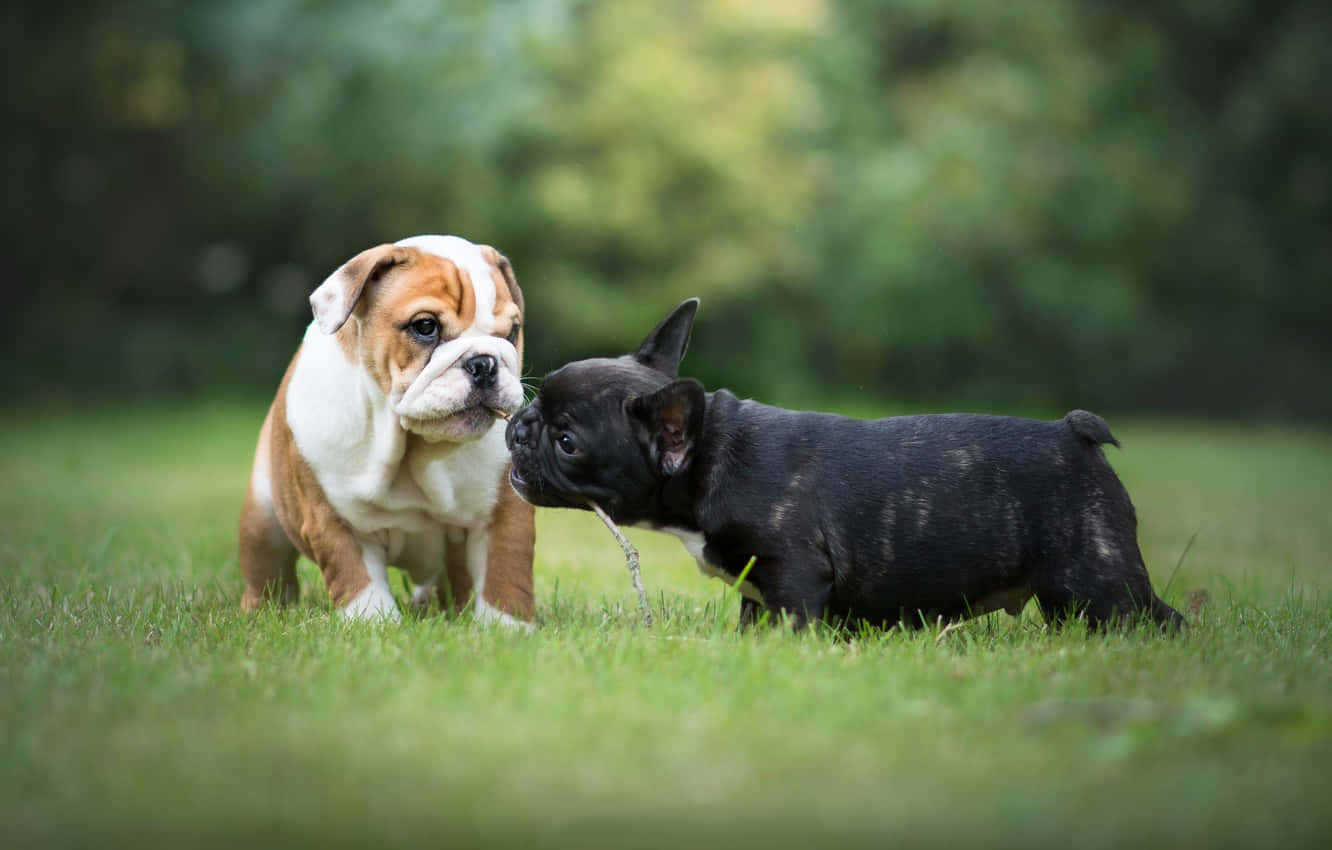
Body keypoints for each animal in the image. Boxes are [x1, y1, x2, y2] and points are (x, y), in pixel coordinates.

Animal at [239, 234, 535, 626]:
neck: (413, 448)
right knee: (267, 574)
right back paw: (260, 614)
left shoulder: (503, 513)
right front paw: (373, 625)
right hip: (262, 521)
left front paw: (508, 629)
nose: (484, 362)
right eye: (425, 326)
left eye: (512, 331)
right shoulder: (334, 520)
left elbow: (506, 575)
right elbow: (358, 581)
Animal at [503, 299, 1182, 634]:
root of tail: (1074, 433)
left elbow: (792, 627)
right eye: (540, 403)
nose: (520, 424)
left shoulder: (794, 577)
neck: (710, 456)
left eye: (567, 441)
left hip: (1094, 581)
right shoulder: (757, 591)